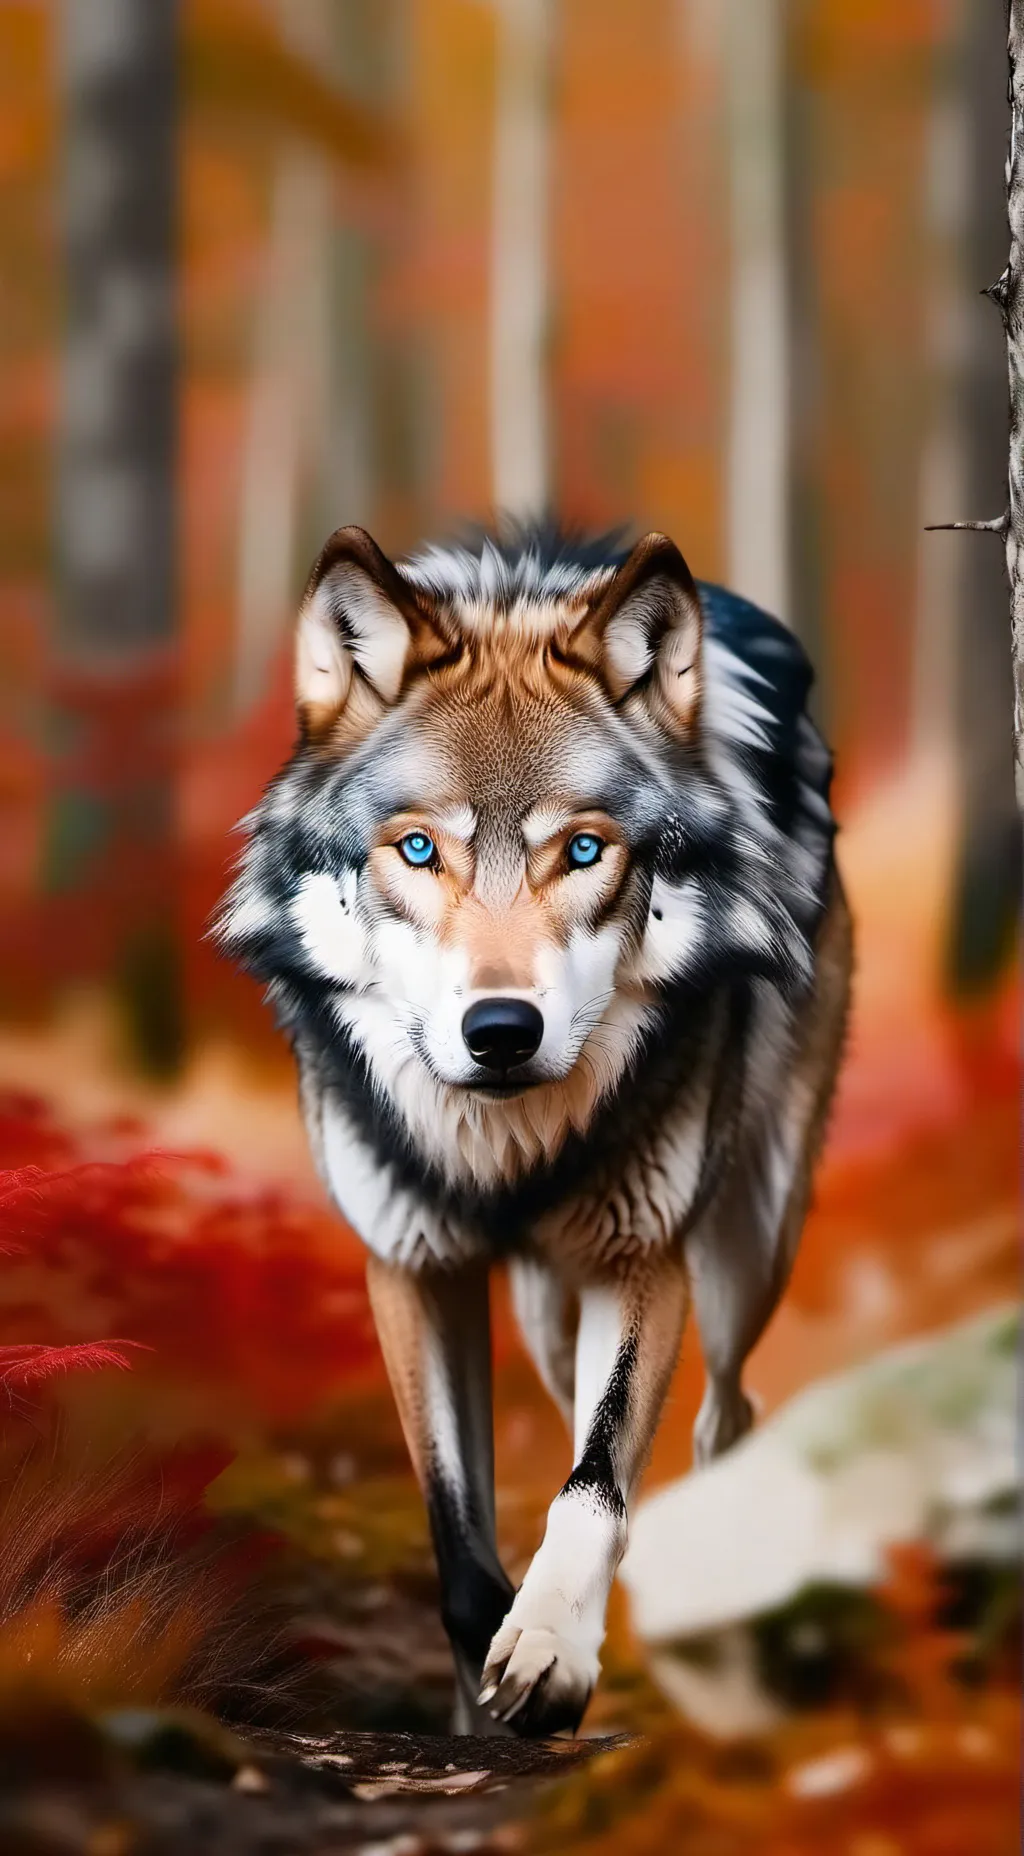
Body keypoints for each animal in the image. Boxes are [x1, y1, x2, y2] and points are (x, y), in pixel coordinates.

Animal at [217, 521, 851, 1738]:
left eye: (585, 851)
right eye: (419, 850)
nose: (502, 1030)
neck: (497, 1154)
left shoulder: (642, 1258)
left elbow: (593, 1486)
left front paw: (552, 1653)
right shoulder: (413, 1267)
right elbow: (460, 1539)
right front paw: (489, 1688)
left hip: (747, 1245)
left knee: (725, 1416)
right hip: (550, 1318)